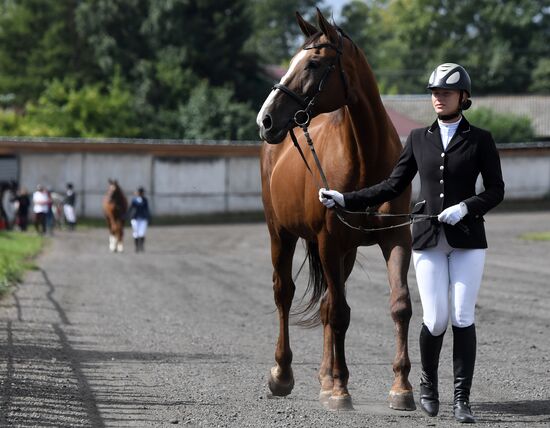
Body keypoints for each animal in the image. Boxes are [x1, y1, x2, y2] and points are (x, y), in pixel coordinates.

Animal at [258, 9, 418, 412]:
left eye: (314, 63)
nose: (265, 119)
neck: (367, 159)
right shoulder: (328, 241)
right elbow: (341, 313)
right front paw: (342, 390)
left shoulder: (396, 238)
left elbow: (399, 305)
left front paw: (401, 388)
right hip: (280, 234)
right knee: (285, 293)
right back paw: (283, 374)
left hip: (344, 253)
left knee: (328, 302)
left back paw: (325, 378)